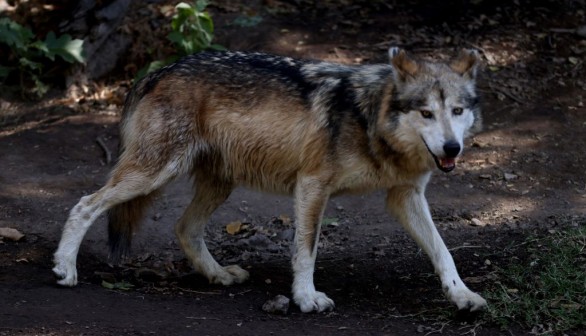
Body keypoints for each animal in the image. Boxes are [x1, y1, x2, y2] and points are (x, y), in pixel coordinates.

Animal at [52, 46, 486, 312]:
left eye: (457, 110)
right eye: (426, 113)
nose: (451, 148)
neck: (368, 118)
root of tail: (156, 72)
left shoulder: (405, 196)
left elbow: (444, 252)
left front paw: (462, 296)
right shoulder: (312, 186)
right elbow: (306, 250)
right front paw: (307, 298)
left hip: (217, 184)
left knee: (184, 228)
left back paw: (218, 275)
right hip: (152, 174)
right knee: (84, 204)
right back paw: (65, 270)